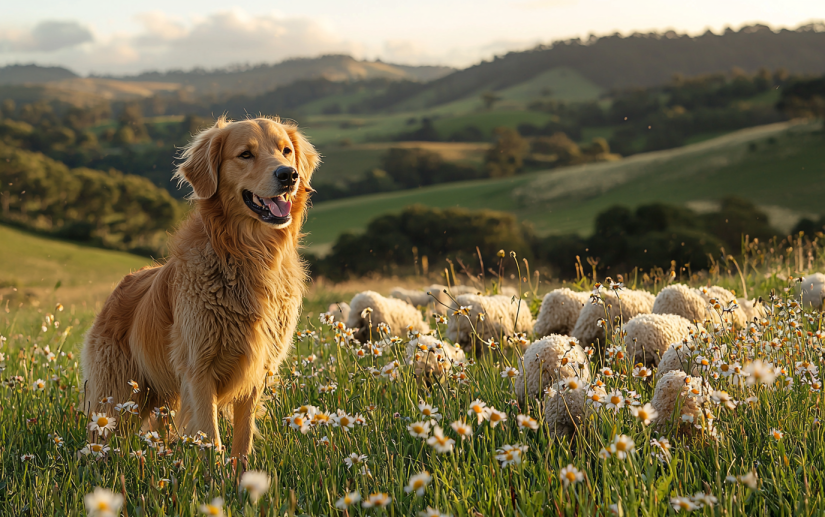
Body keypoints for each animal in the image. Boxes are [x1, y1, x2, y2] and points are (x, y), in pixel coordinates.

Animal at [81, 116, 318, 456]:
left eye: (286, 151)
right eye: (245, 154)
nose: (289, 175)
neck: (249, 256)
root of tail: (122, 285)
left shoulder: (256, 371)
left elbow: (242, 441)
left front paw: (241, 472)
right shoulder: (199, 371)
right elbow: (212, 440)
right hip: (116, 395)